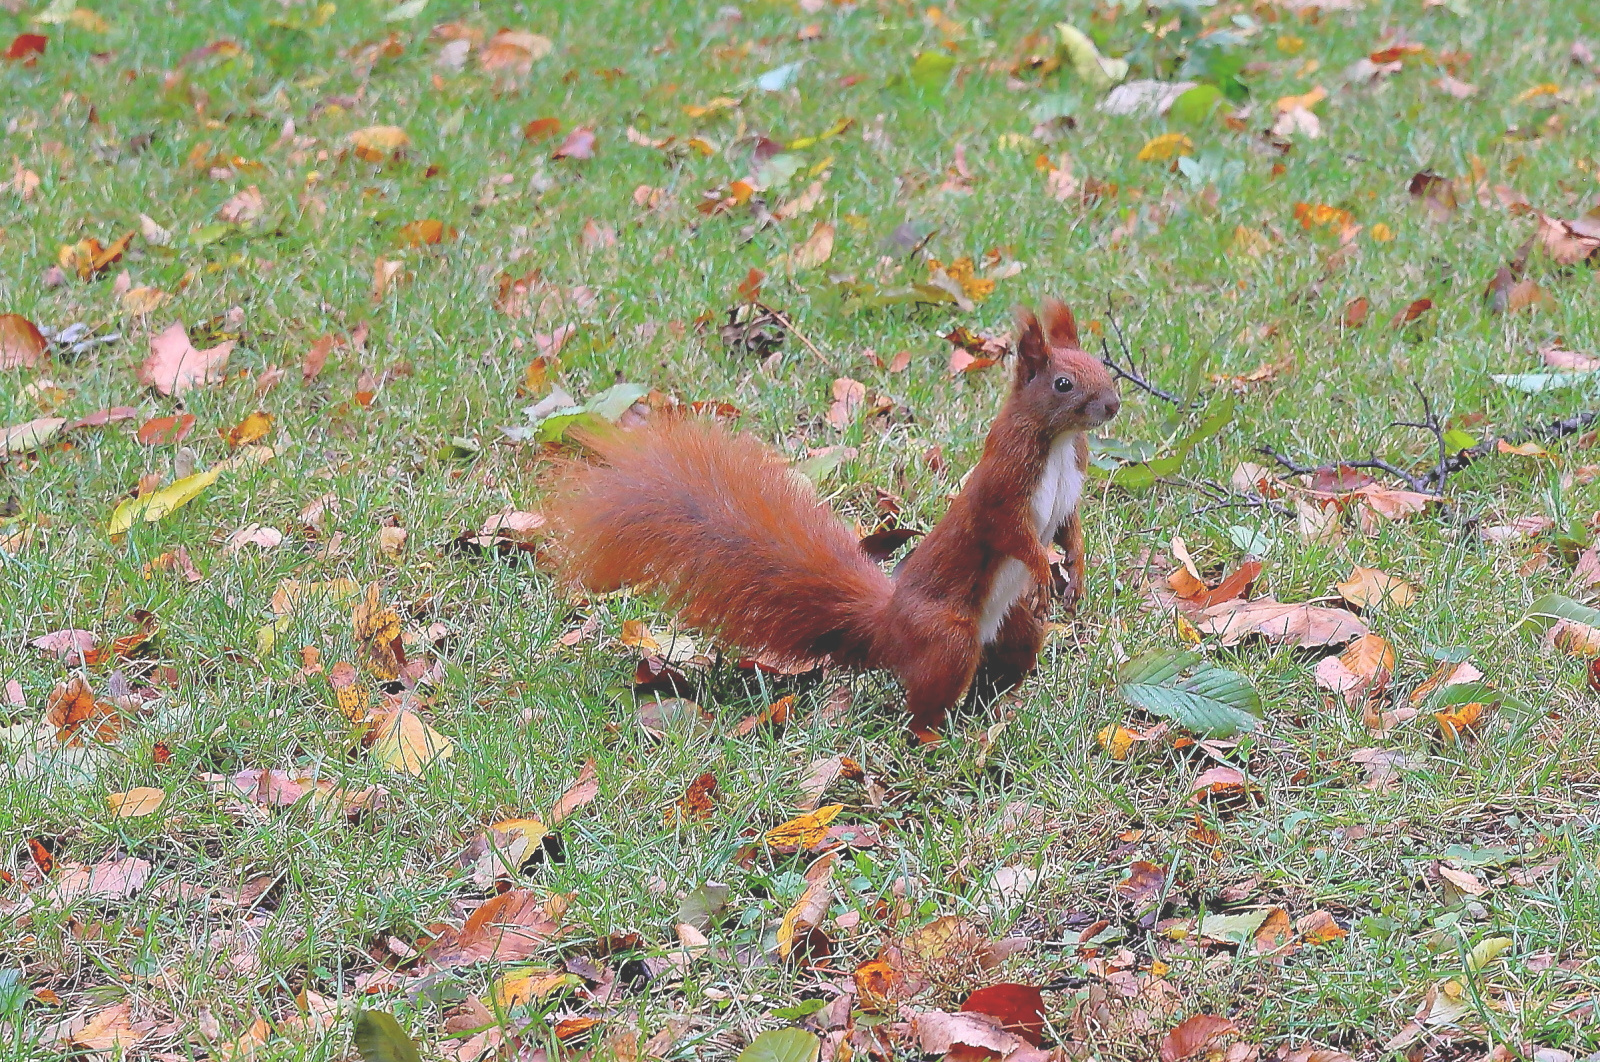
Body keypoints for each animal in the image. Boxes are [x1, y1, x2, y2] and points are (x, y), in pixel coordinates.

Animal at [550, 300, 1126, 738]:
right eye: (1063, 384)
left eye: (1103, 368)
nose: (1114, 405)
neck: (1057, 444)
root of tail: (888, 628)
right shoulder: (1002, 490)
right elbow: (1008, 531)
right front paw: (1042, 566)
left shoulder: (1070, 488)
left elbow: (1070, 528)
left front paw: (1074, 569)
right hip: (946, 638)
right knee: (925, 704)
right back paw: (936, 736)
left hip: (1017, 629)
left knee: (999, 673)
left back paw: (996, 713)